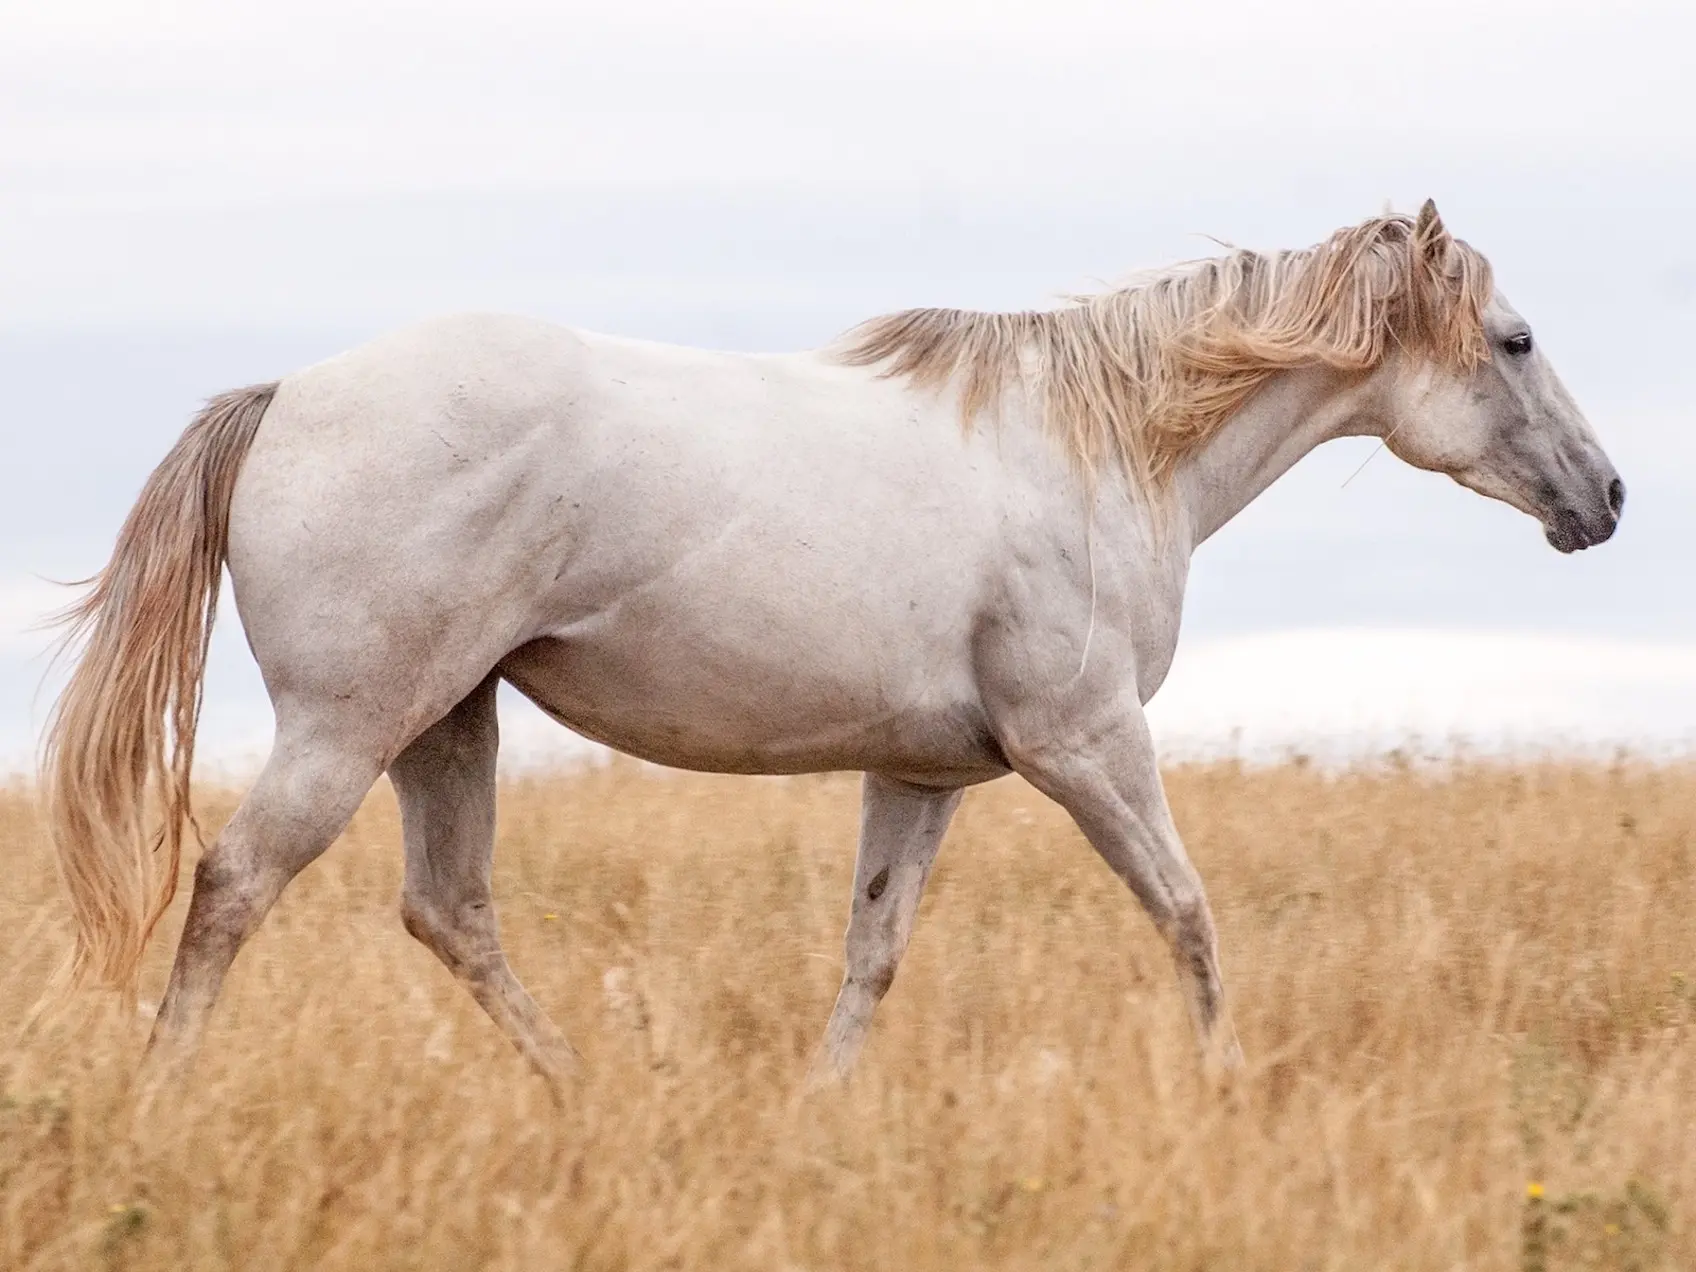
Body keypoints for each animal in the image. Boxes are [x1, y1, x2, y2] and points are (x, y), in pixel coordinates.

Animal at [39, 196, 1621, 1099]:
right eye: (1516, 340)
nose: (1605, 499)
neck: (1107, 445)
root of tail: (288, 395)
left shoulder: (922, 777)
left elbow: (873, 952)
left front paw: (822, 1112)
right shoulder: (1086, 744)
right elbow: (1188, 913)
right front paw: (1231, 1091)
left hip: (447, 721)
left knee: (452, 911)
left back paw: (591, 1099)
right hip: (350, 729)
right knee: (236, 886)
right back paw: (163, 1103)